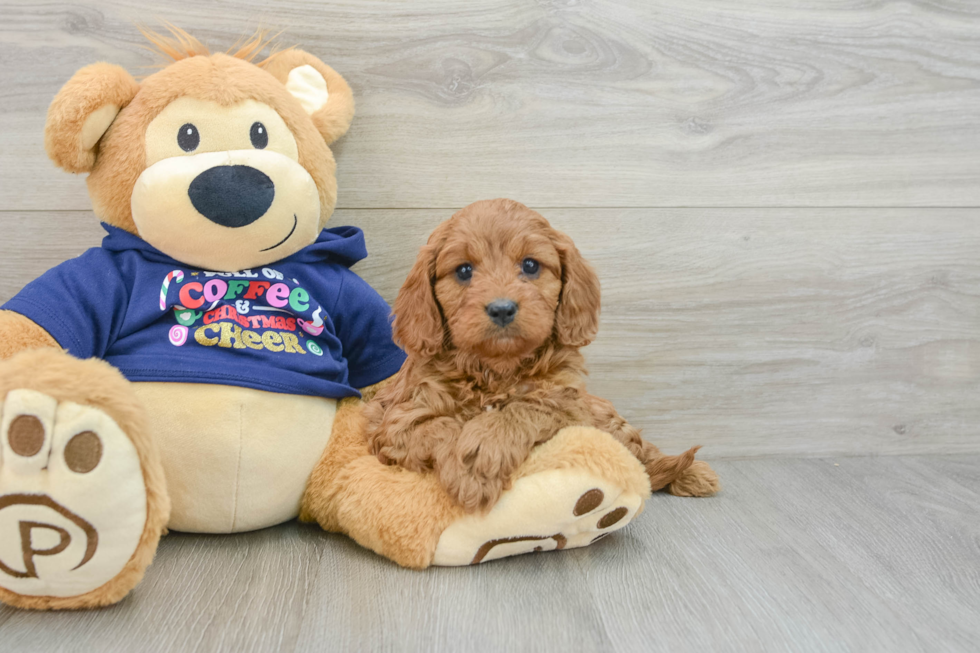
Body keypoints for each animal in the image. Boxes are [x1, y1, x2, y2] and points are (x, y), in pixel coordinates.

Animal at [364, 196, 716, 512]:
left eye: (530, 265)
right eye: (463, 271)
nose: (502, 308)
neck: (496, 369)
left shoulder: (570, 406)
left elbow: (525, 407)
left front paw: (482, 450)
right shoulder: (394, 423)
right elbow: (442, 425)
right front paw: (469, 469)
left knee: (642, 453)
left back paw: (695, 474)